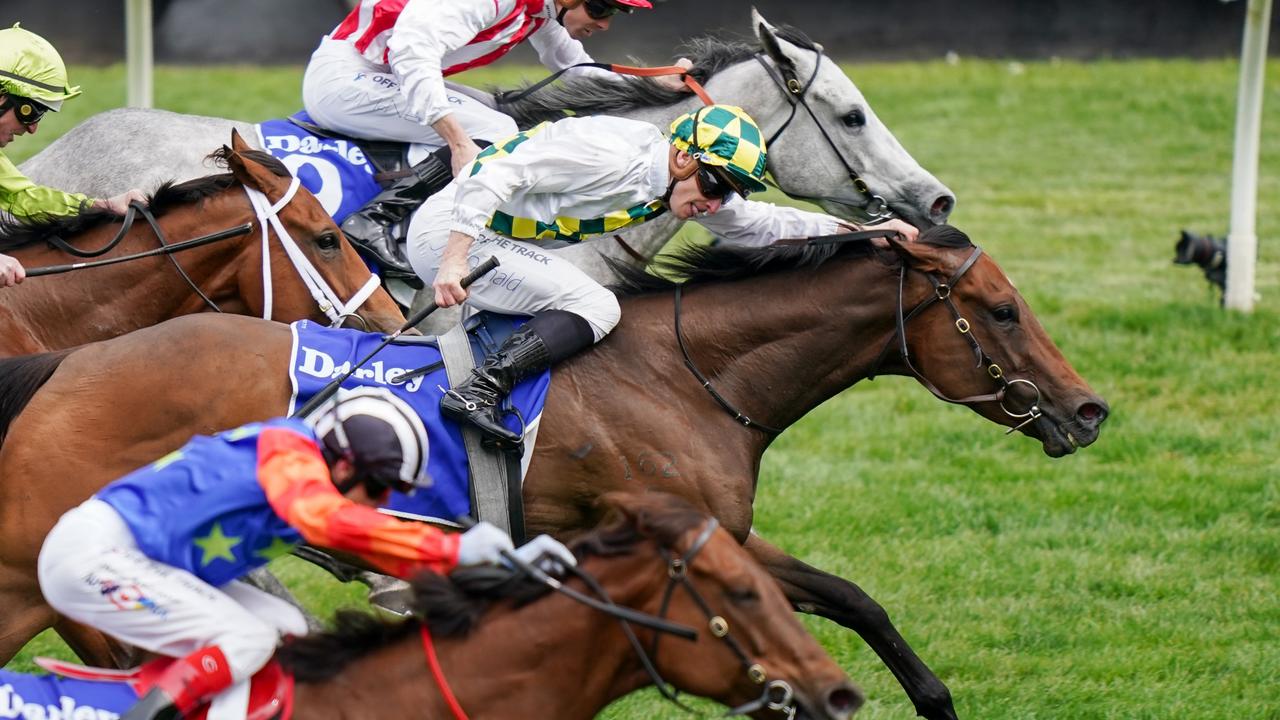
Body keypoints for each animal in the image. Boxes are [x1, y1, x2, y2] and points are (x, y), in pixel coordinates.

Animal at [0, 225, 1105, 717]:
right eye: (1002, 310)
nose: (1089, 411)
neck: (685, 374)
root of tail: (65, 364)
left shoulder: (705, 532)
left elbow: (852, 597)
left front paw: (932, 699)